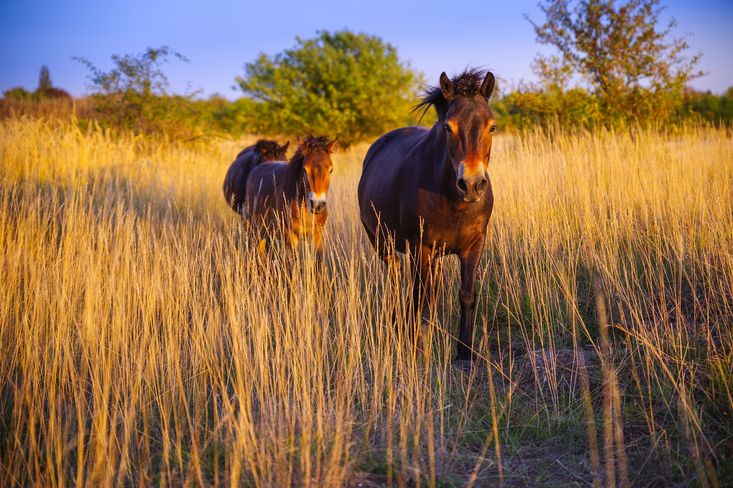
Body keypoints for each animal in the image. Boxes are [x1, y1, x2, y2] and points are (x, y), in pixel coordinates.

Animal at [356, 68, 494, 360]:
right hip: (381, 242)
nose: (472, 185)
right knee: (397, 277)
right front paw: (415, 342)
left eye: (492, 126)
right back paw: (398, 323)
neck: (454, 201)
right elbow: (420, 296)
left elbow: (466, 294)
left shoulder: (474, 246)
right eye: (448, 127)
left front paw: (465, 351)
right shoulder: (421, 248)